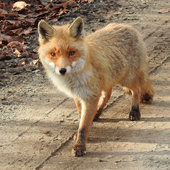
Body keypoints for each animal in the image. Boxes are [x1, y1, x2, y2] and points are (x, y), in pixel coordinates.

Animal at [37, 16, 154, 157]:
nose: (62, 70)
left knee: (137, 89)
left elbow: (83, 126)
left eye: (71, 53)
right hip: (109, 79)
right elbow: (82, 117)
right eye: (53, 54)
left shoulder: (90, 96)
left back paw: (134, 111)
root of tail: (129, 27)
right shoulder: (78, 95)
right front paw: (84, 131)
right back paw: (97, 113)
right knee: (108, 93)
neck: (74, 79)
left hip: (125, 79)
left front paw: (80, 146)